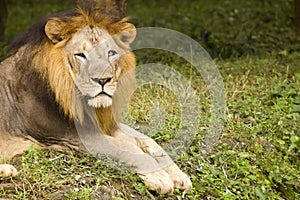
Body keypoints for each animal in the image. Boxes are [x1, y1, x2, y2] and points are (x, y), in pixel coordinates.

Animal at [0, 0, 192, 194]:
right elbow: (128, 147)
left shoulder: (104, 122)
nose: (103, 80)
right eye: (80, 55)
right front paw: (160, 177)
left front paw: (178, 175)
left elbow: (148, 140)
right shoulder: (73, 136)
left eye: (111, 53)